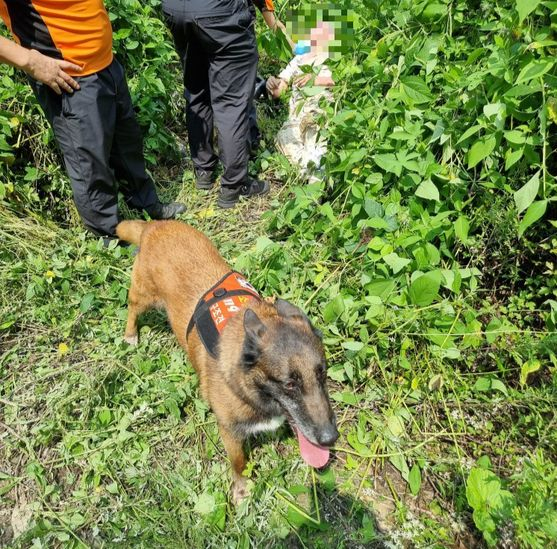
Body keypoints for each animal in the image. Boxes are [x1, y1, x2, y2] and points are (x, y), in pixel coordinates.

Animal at [115, 219, 336, 500]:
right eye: (289, 384)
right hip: (143, 295)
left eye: (323, 374)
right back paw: (130, 334)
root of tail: (153, 226)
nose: (331, 438)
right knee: (132, 308)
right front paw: (241, 488)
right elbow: (239, 462)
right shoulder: (229, 431)